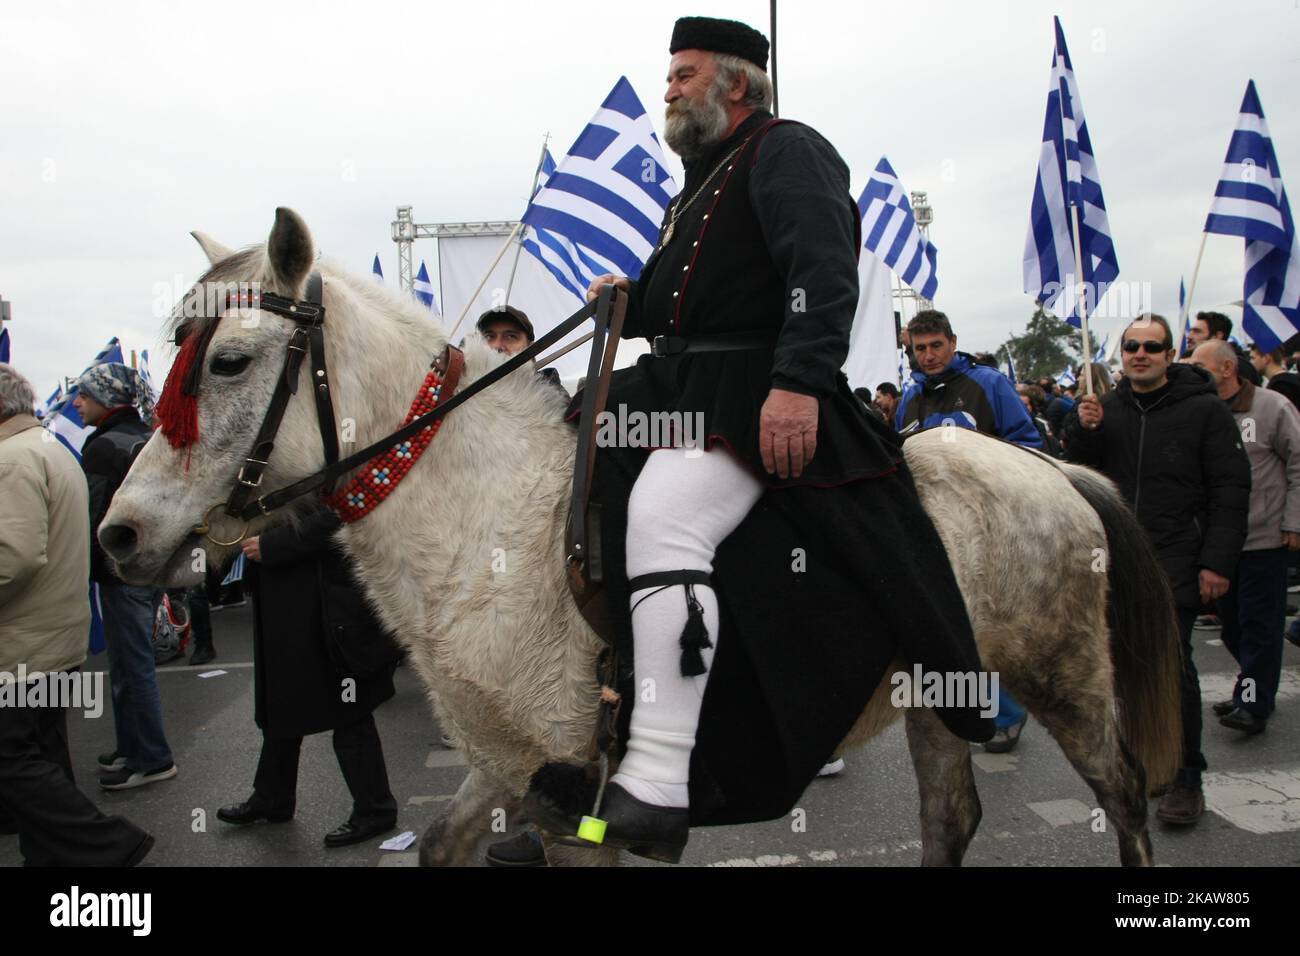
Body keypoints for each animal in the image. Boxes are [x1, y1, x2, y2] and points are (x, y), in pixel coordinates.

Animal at [106, 209, 1190, 868]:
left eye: (230, 361)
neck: (492, 526)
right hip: (938, 678)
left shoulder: (577, 802)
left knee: (1125, 795)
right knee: (949, 816)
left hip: (1062, 674)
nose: (120, 534)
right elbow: (439, 842)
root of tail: (1050, 466)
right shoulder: (501, 767)